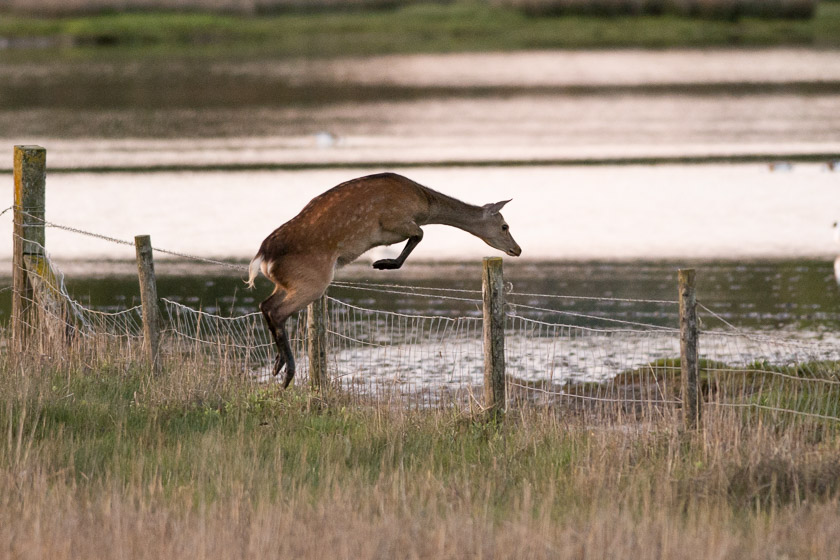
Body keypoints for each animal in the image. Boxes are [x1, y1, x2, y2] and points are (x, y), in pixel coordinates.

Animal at [244, 173, 520, 388]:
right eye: (505, 226)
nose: (517, 249)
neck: (424, 205)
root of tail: (262, 258)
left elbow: (419, 235)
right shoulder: (395, 220)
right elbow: (420, 233)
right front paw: (384, 263)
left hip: (288, 282)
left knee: (265, 305)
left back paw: (277, 364)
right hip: (314, 280)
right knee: (277, 311)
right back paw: (287, 372)